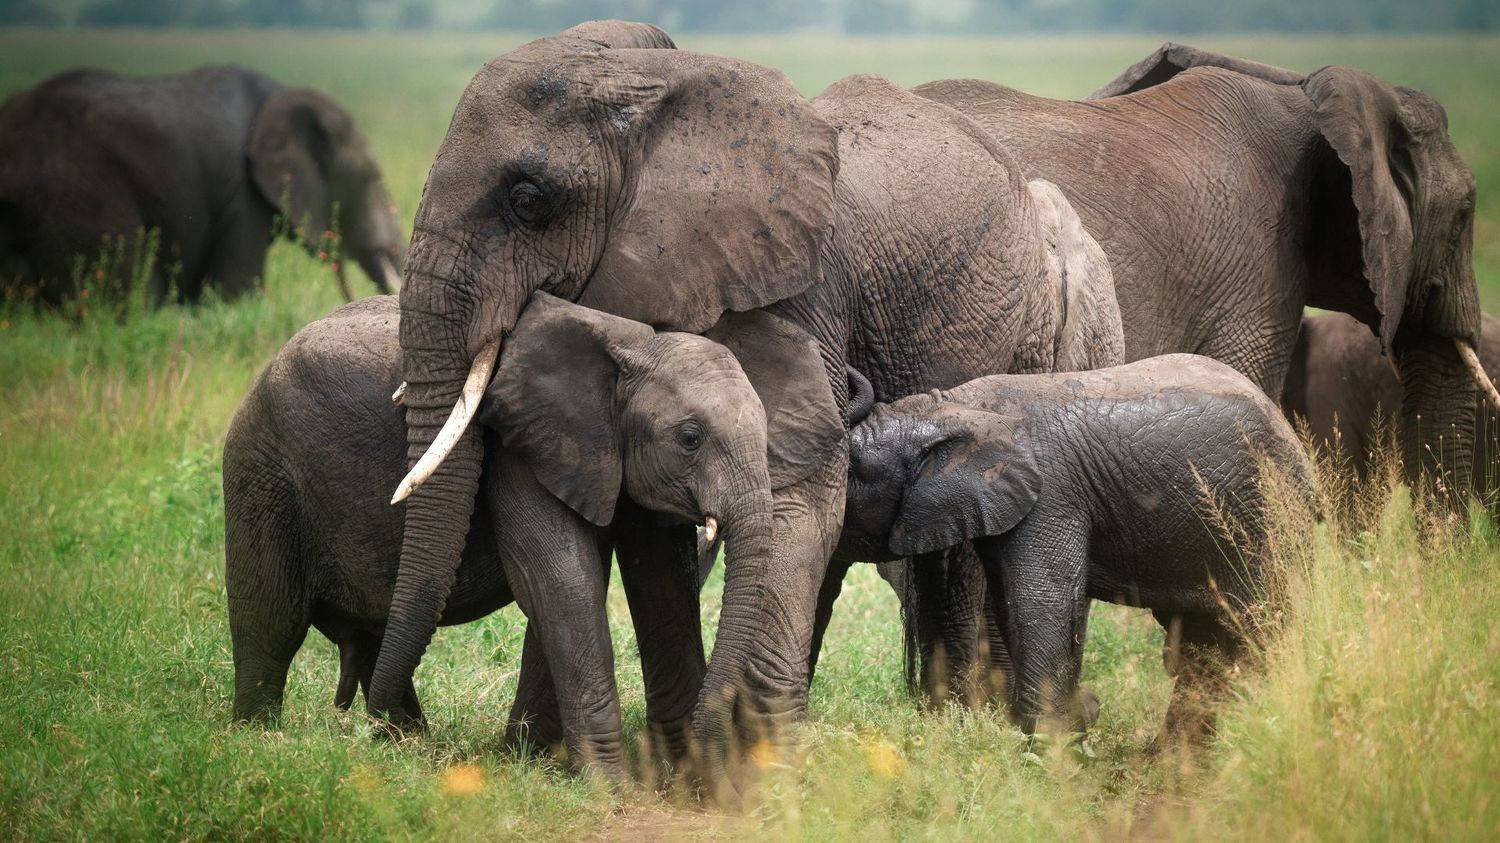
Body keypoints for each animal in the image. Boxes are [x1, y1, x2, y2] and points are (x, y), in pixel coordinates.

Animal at [222, 291, 779, 778]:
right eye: (690, 439)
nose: (716, 755)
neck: (633, 343)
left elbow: (610, 583)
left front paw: (527, 762)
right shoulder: (520, 448)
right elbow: (562, 582)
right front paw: (609, 785)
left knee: (377, 636)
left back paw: (400, 746)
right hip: (261, 472)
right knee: (270, 623)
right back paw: (257, 741)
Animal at [374, 19, 1120, 789]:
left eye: (527, 200)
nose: (388, 730)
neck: (655, 93)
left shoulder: (804, 278)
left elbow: (798, 492)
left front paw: (749, 771)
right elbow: (623, 524)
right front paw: (661, 767)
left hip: (1033, 330)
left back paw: (976, 721)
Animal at [839, 355, 1314, 739]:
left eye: (852, 471)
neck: (955, 406)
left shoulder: (1052, 494)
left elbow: (1040, 600)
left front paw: (1054, 742)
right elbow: (1010, 601)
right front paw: (1078, 717)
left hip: (1268, 514)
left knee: (1260, 626)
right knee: (1206, 637)